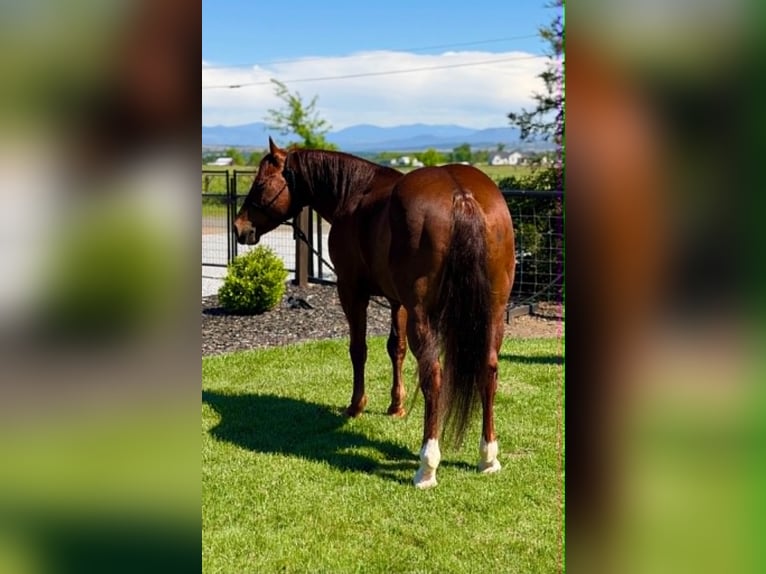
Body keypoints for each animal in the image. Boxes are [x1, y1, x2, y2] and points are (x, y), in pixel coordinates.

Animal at [233, 138, 515, 488]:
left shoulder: (351, 292)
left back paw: (427, 465)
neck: (355, 193)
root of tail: (461, 195)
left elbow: (359, 349)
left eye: (260, 184)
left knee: (433, 375)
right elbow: (396, 348)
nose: (239, 227)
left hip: (424, 316)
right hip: (492, 312)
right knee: (487, 369)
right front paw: (396, 405)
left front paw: (356, 406)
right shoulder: (398, 302)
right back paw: (488, 456)